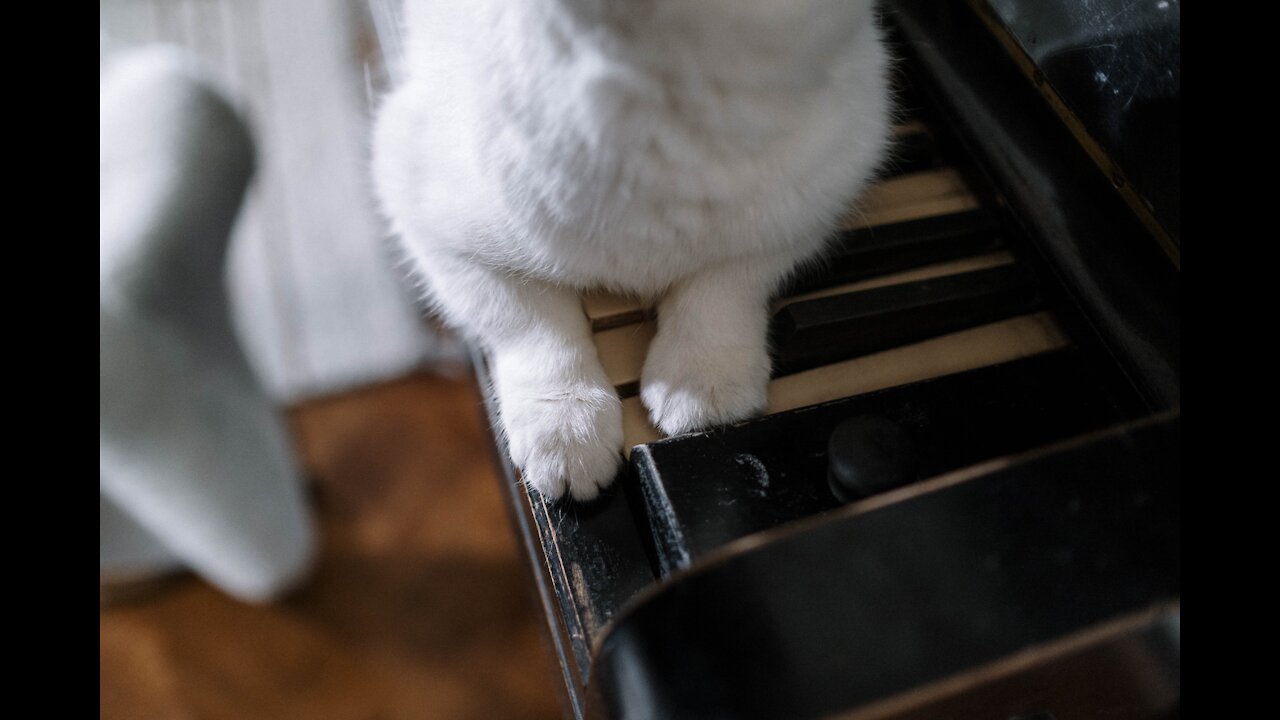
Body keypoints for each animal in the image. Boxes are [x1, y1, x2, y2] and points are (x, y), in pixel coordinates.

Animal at [371, 0, 890, 499]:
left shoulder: (809, 206)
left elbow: (721, 288)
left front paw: (704, 380)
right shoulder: (429, 225)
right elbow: (533, 326)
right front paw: (566, 429)